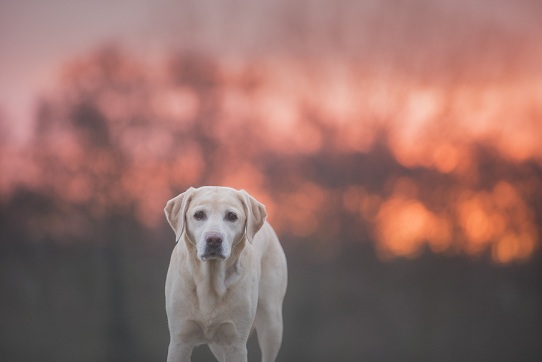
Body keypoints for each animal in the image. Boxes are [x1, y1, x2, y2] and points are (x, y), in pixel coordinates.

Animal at [165, 187, 288, 362]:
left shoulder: (235, 343)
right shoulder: (179, 340)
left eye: (231, 216)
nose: (214, 239)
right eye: (199, 214)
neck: (210, 280)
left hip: (272, 323)